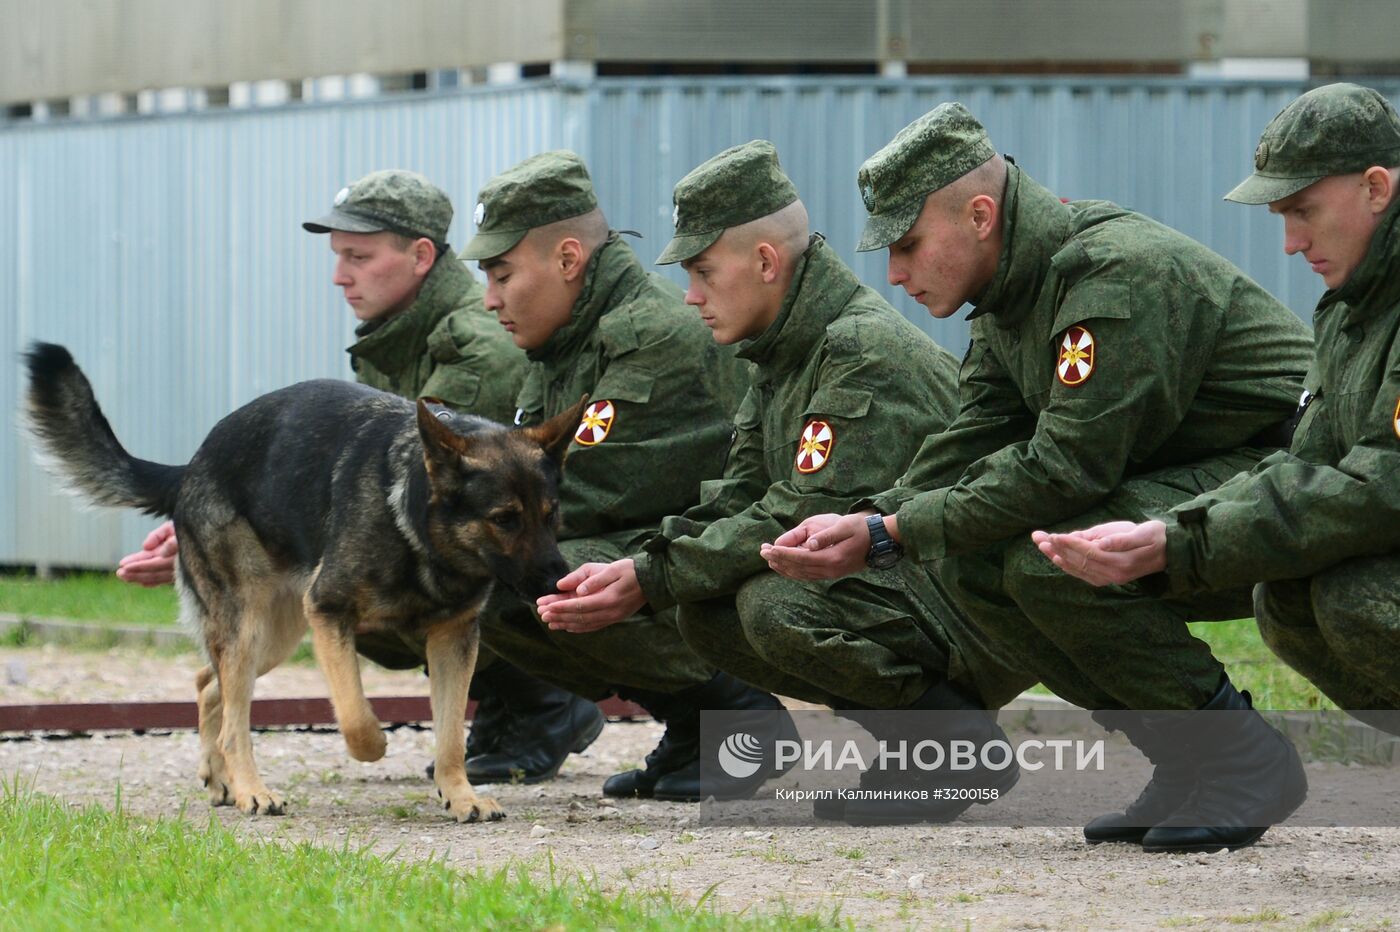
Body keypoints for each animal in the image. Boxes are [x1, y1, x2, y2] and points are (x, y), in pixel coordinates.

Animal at [27, 342, 585, 822]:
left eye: (551, 514)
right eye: (504, 519)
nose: (559, 582)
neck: (416, 527)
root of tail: (189, 468)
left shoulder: (453, 641)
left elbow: (450, 735)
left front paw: (461, 796)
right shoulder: (330, 614)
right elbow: (357, 718)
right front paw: (376, 746)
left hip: (275, 635)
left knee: (210, 684)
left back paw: (222, 779)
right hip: (255, 629)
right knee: (234, 720)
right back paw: (252, 790)